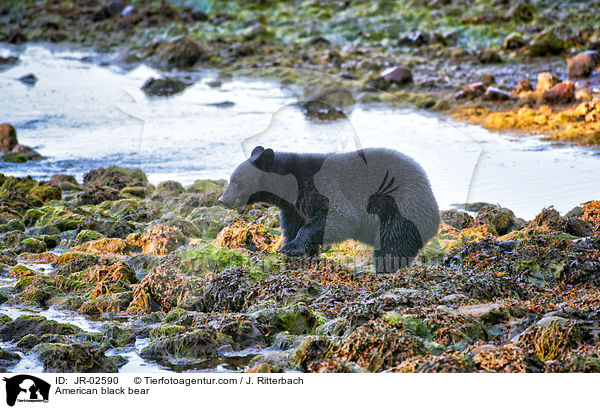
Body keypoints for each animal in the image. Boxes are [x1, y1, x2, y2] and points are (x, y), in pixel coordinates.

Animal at [219, 145, 440, 272]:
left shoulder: (321, 185)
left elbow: (339, 216)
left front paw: (292, 247)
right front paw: (292, 245)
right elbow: (292, 225)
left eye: (237, 181)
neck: (290, 184)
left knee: (393, 243)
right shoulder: (293, 208)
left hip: (401, 209)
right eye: (231, 179)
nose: (222, 200)